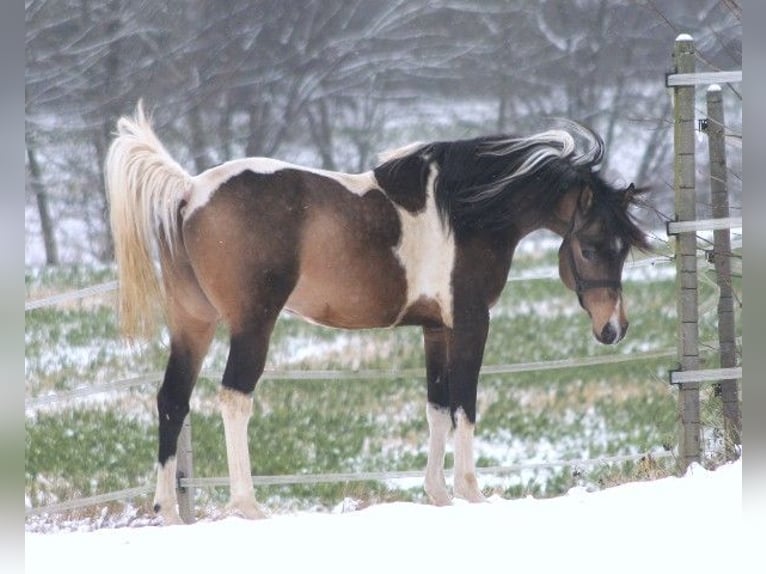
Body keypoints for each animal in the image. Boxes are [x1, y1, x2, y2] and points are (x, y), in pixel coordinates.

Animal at [105, 102, 648, 524]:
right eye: (592, 247)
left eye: (623, 248)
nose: (613, 328)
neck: (466, 211)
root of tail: (188, 191)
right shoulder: (471, 323)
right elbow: (464, 406)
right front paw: (471, 492)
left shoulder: (436, 330)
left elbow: (436, 408)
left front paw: (438, 495)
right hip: (252, 323)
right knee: (234, 398)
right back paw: (248, 505)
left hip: (193, 325)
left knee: (172, 400)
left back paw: (167, 511)